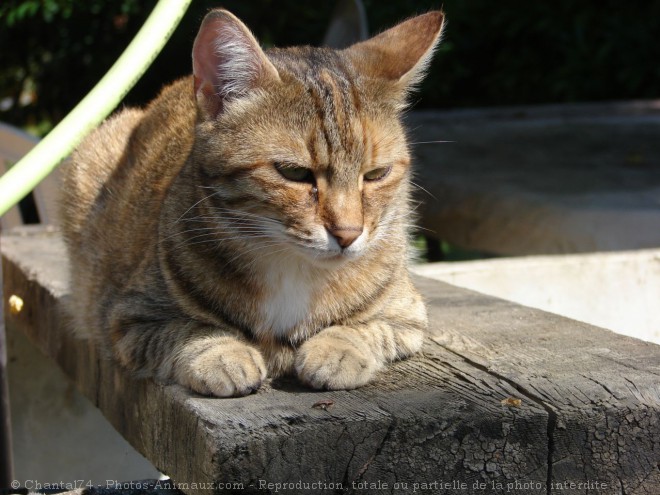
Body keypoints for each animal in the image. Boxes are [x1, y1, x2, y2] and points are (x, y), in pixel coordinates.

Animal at [60, 7, 444, 400]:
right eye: (294, 173)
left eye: (376, 174)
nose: (348, 233)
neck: (292, 267)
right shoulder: (128, 317)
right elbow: (187, 330)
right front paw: (220, 354)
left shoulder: (407, 315)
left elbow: (368, 327)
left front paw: (339, 349)